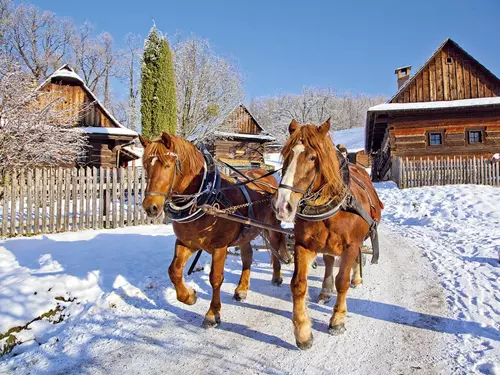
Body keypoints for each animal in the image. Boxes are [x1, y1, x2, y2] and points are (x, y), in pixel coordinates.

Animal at [142, 132, 290, 328]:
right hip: (246, 232)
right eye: (145, 165)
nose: (150, 207)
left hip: (271, 225)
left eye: (167, 165)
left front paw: (212, 313)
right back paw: (241, 289)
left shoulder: (220, 246)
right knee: (247, 256)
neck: (204, 197)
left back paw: (277, 276)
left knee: (276, 246)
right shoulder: (187, 242)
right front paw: (189, 296)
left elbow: (216, 278)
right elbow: (174, 271)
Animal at [274, 119, 382, 352]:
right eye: (285, 153)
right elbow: (298, 285)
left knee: (355, 260)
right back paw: (325, 290)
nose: (282, 206)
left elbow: (342, 281)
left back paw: (356, 278)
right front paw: (303, 332)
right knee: (330, 260)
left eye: (312, 157)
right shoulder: (303, 245)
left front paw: (338, 320)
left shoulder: (351, 245)